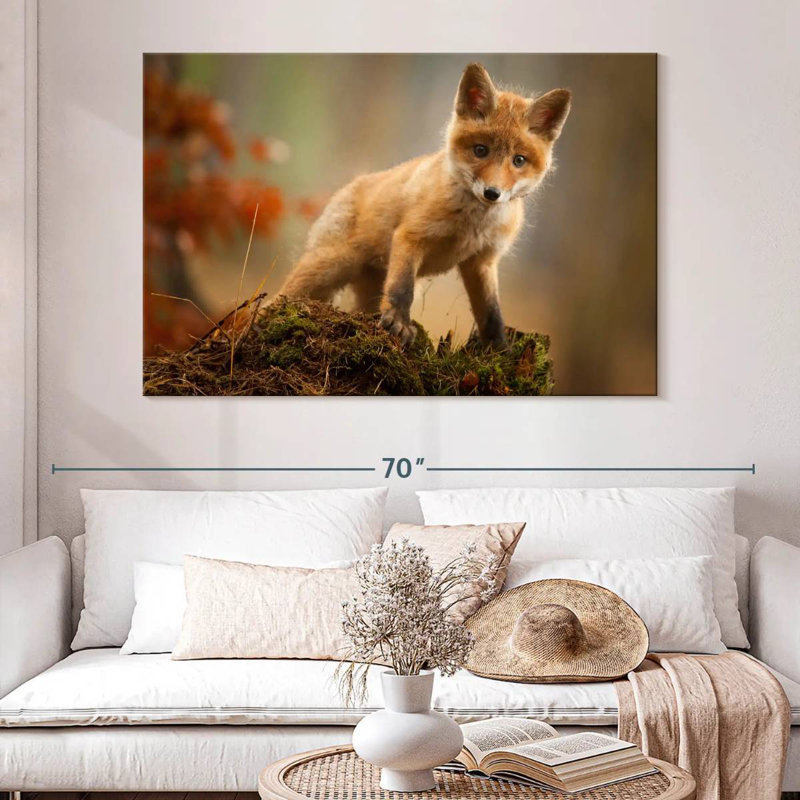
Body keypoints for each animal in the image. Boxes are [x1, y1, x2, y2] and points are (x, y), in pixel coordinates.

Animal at [278, 63, 571, 348]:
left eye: (518, 160)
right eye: (480, 150)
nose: (492, 193)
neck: (472, 225)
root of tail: (348, 186)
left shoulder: (482, 261)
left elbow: (491, 314)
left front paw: (498, 350)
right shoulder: (411, 236)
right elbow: (401, 289)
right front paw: (399, 324)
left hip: (366, 287)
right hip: (328, 267)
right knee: (278, 299)